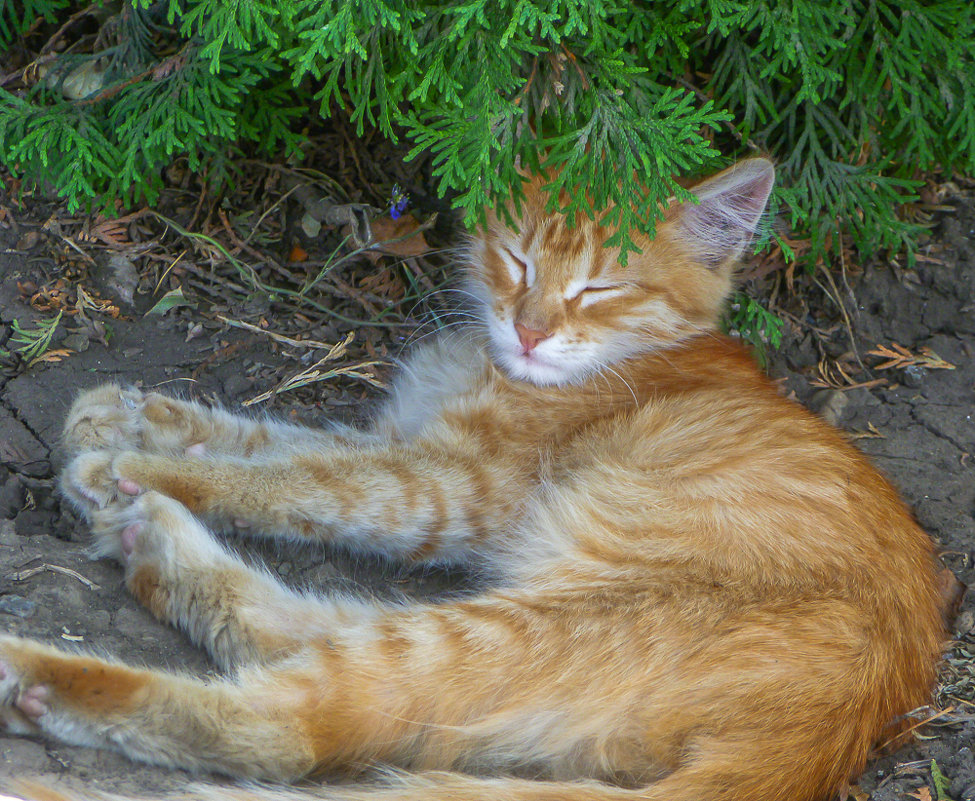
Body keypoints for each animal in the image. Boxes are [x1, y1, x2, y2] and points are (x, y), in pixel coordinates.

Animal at [0, 158, 944, 800]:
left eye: (600, 287)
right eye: (518, 261)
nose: (528, 330)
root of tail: (838, 731)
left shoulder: (440, 483)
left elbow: (299, 476)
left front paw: (125, 463)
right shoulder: (399, 439)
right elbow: (265, 435)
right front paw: (125, 415)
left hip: (552, 617)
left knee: (293, 725)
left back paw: (34, 672)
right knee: (305, 635)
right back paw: (155, 547)